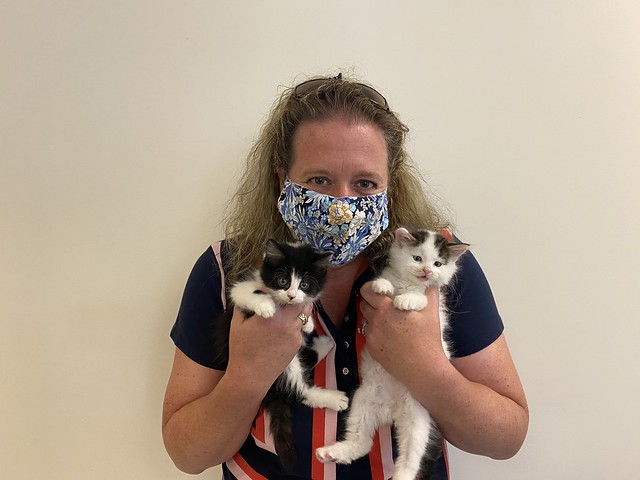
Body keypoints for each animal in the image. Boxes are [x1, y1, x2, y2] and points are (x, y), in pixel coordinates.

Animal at [219, 240, 350, 468]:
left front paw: (308, 324)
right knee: (299, 391)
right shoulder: (238, 289)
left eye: (304, 285)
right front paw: (266, 306)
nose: (291, 295)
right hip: (284, 367)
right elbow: (250, 293)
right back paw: (333, 395)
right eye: (283, 281)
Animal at [316, 228, 470, 480]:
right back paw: (334, 452)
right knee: (362, 442)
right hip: (363, 400)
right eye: (417, 258)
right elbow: (383, 282)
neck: (407, 283)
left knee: (410, 458)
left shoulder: (431, 302)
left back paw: (402, 474)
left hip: (418, 419)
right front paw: (383, 287)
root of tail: (392, 411)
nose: (426, 271)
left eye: (437, 264)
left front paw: (406, 300)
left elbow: (419, 298)